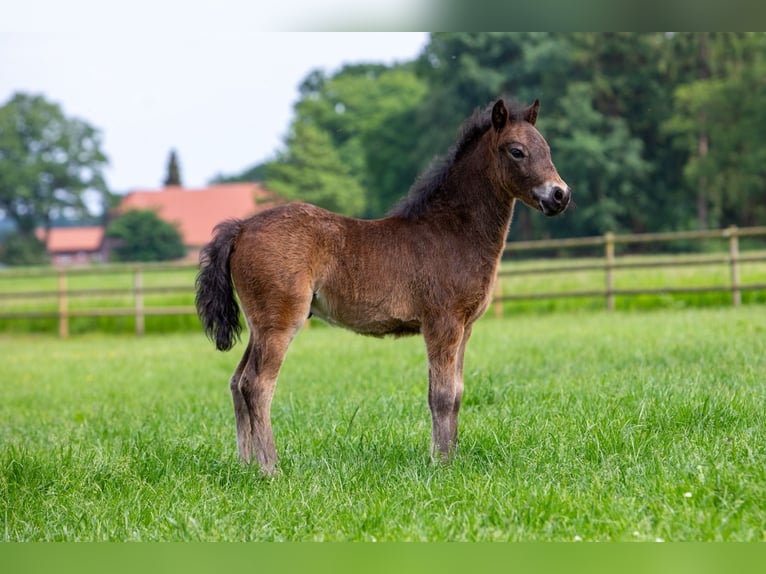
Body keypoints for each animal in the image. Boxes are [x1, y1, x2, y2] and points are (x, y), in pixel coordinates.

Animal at [198, 100, 568, 476]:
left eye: (547, 149)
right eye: (517, 151)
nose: (560, 195)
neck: (452, 232)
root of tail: (242, 227)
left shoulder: (464, 328)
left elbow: (457, 393)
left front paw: (450, 457)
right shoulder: (442, 324)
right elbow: (441, 395)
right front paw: (440, 463)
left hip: (260, 326)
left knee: (237, 382)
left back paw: (246, 466)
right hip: (280, 323)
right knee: (257, 385)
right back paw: (271, 469)